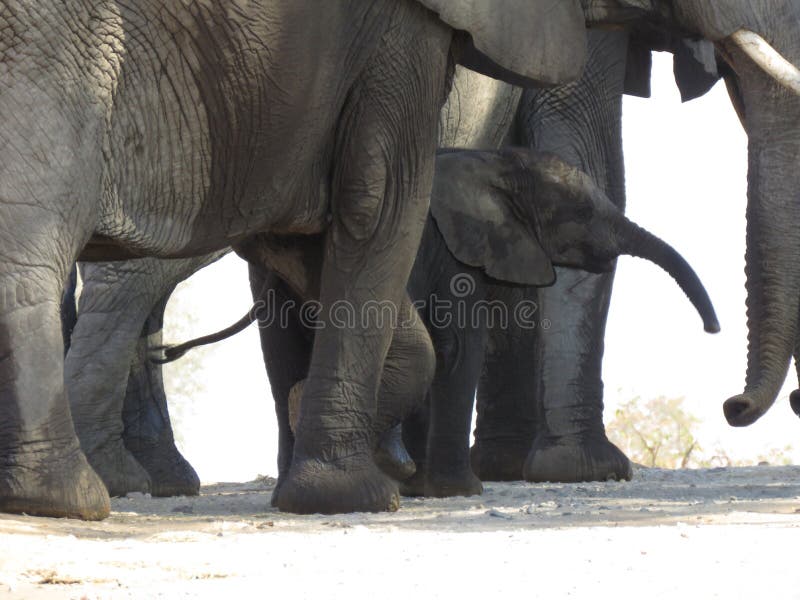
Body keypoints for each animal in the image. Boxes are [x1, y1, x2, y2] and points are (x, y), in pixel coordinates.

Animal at [0, 0, 592, 516]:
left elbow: (305, 235)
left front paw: (315, 422)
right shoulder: (401, 31)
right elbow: (380, 202)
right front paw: (352, 495)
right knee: (39, 230)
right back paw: (71, 499)